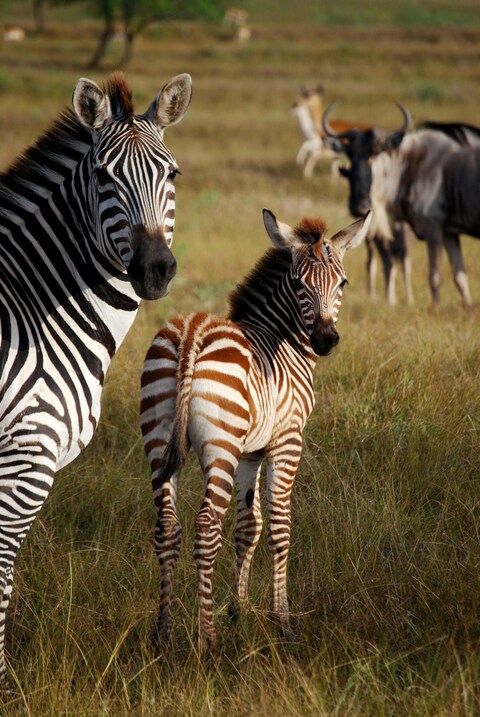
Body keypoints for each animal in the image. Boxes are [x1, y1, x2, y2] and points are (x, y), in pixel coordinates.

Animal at [0, 71, 192, 689]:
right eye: (105, 177)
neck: (34, 311)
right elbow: (2, 569)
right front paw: (2, 680)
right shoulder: (26, 454)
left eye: (172, 174)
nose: (155, 270)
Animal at [140, 207, 371, 650]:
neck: (284, 342)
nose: (326, 340)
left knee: (167, 527)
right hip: (220, 448)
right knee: (205, 527)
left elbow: (249, 526)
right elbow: (279, 526)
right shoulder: (287, 441)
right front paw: (282, 620)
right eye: (298, 283)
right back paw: (207, 641)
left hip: (160, 441)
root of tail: (192, 333)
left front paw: (239, 608)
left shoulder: (251, 452)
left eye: (343, 283)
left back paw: (164, 635)